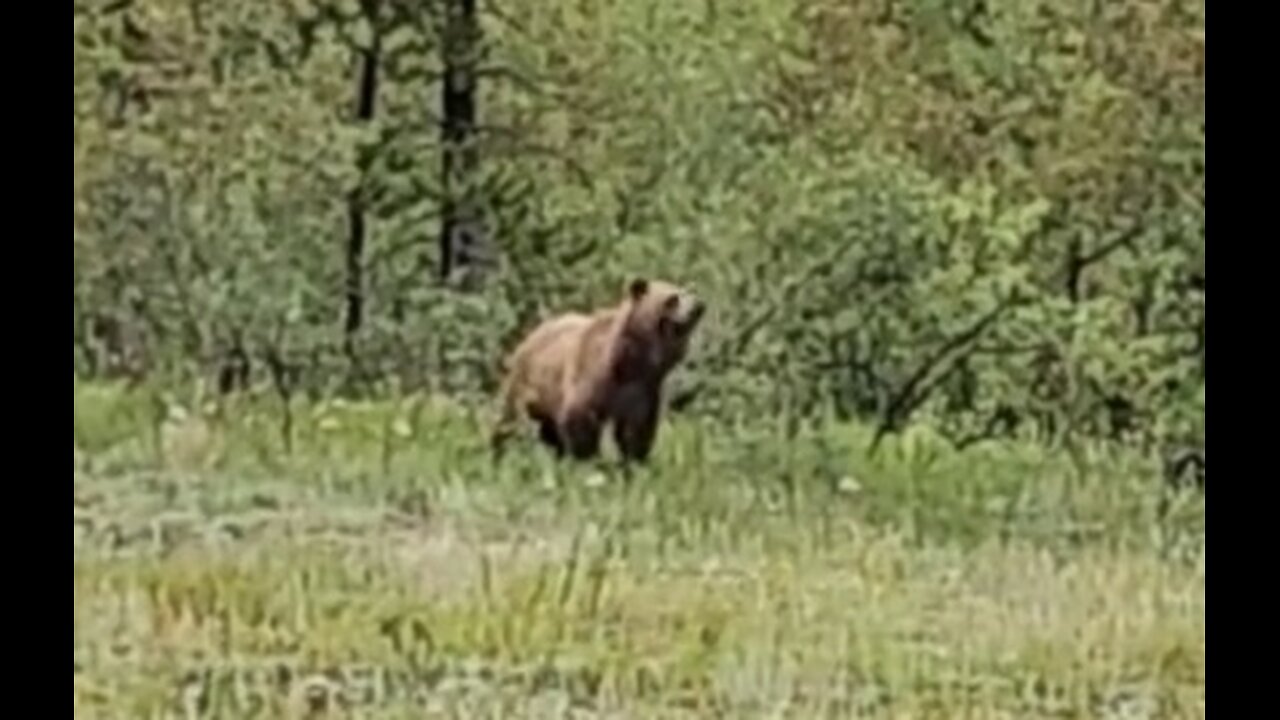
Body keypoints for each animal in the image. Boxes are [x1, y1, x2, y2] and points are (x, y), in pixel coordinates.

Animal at [491, 274, 711, 458]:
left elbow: (637, 429)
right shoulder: (593, 376)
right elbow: (580, 417)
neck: (631, 362)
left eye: (689, 292)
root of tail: (533, 333)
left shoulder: (643, 390)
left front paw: (634, 460)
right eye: (672, 298)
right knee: (508, 420)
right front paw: (587, 458)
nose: (699, 307)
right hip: (527, 382)